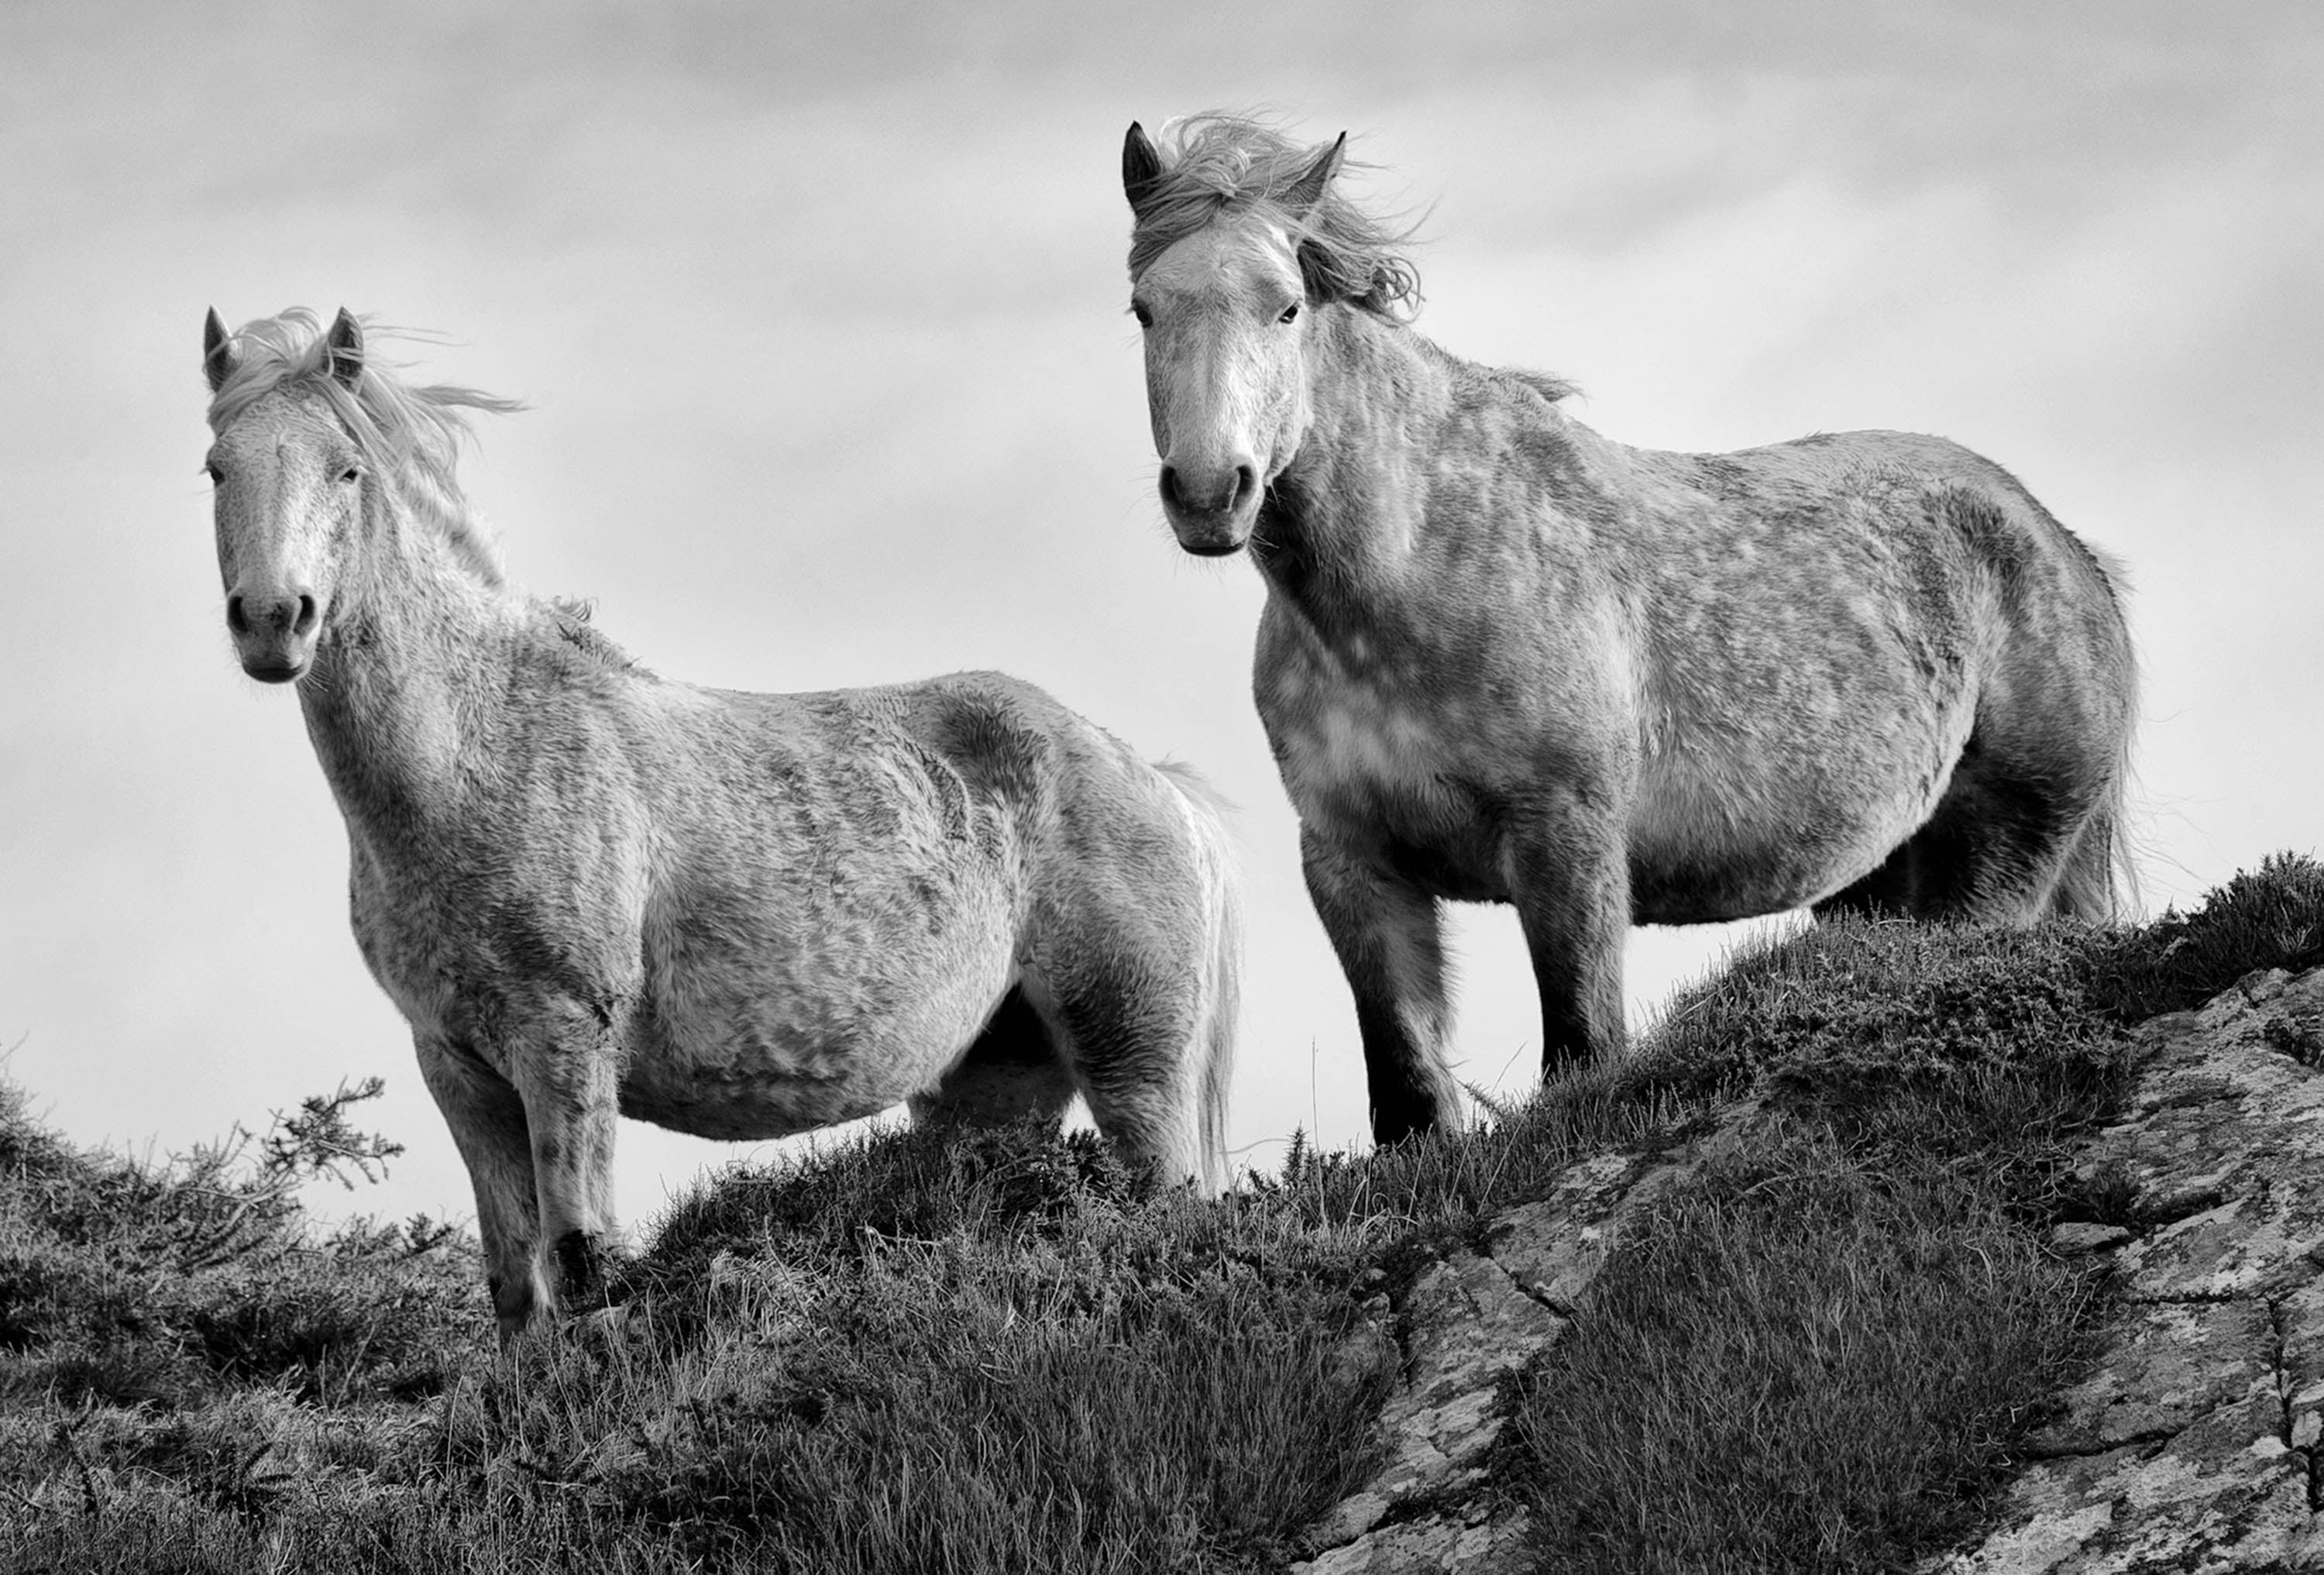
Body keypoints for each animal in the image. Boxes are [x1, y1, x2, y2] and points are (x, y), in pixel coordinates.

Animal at [199, 306, 1243, 1336]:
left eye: (347, 468)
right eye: (217, 465)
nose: (274, 621)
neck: (483, 746)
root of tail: (1158, 784)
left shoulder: (563, 1044)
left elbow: (581, 1261)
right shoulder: (457, 1064)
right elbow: (516, 1288)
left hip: (1133, 1066)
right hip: (993, 1079)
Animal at [1120, 114, 2136, 1145]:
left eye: (1286, 308)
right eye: (1144, 310)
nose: (1209, 493)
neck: (1416, 573)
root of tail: (2060, 543)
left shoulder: (1567, 839)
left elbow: (1583, 1045)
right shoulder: (1353, 859)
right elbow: (1407, 1090)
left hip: (2005, 842)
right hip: (1875, 877)